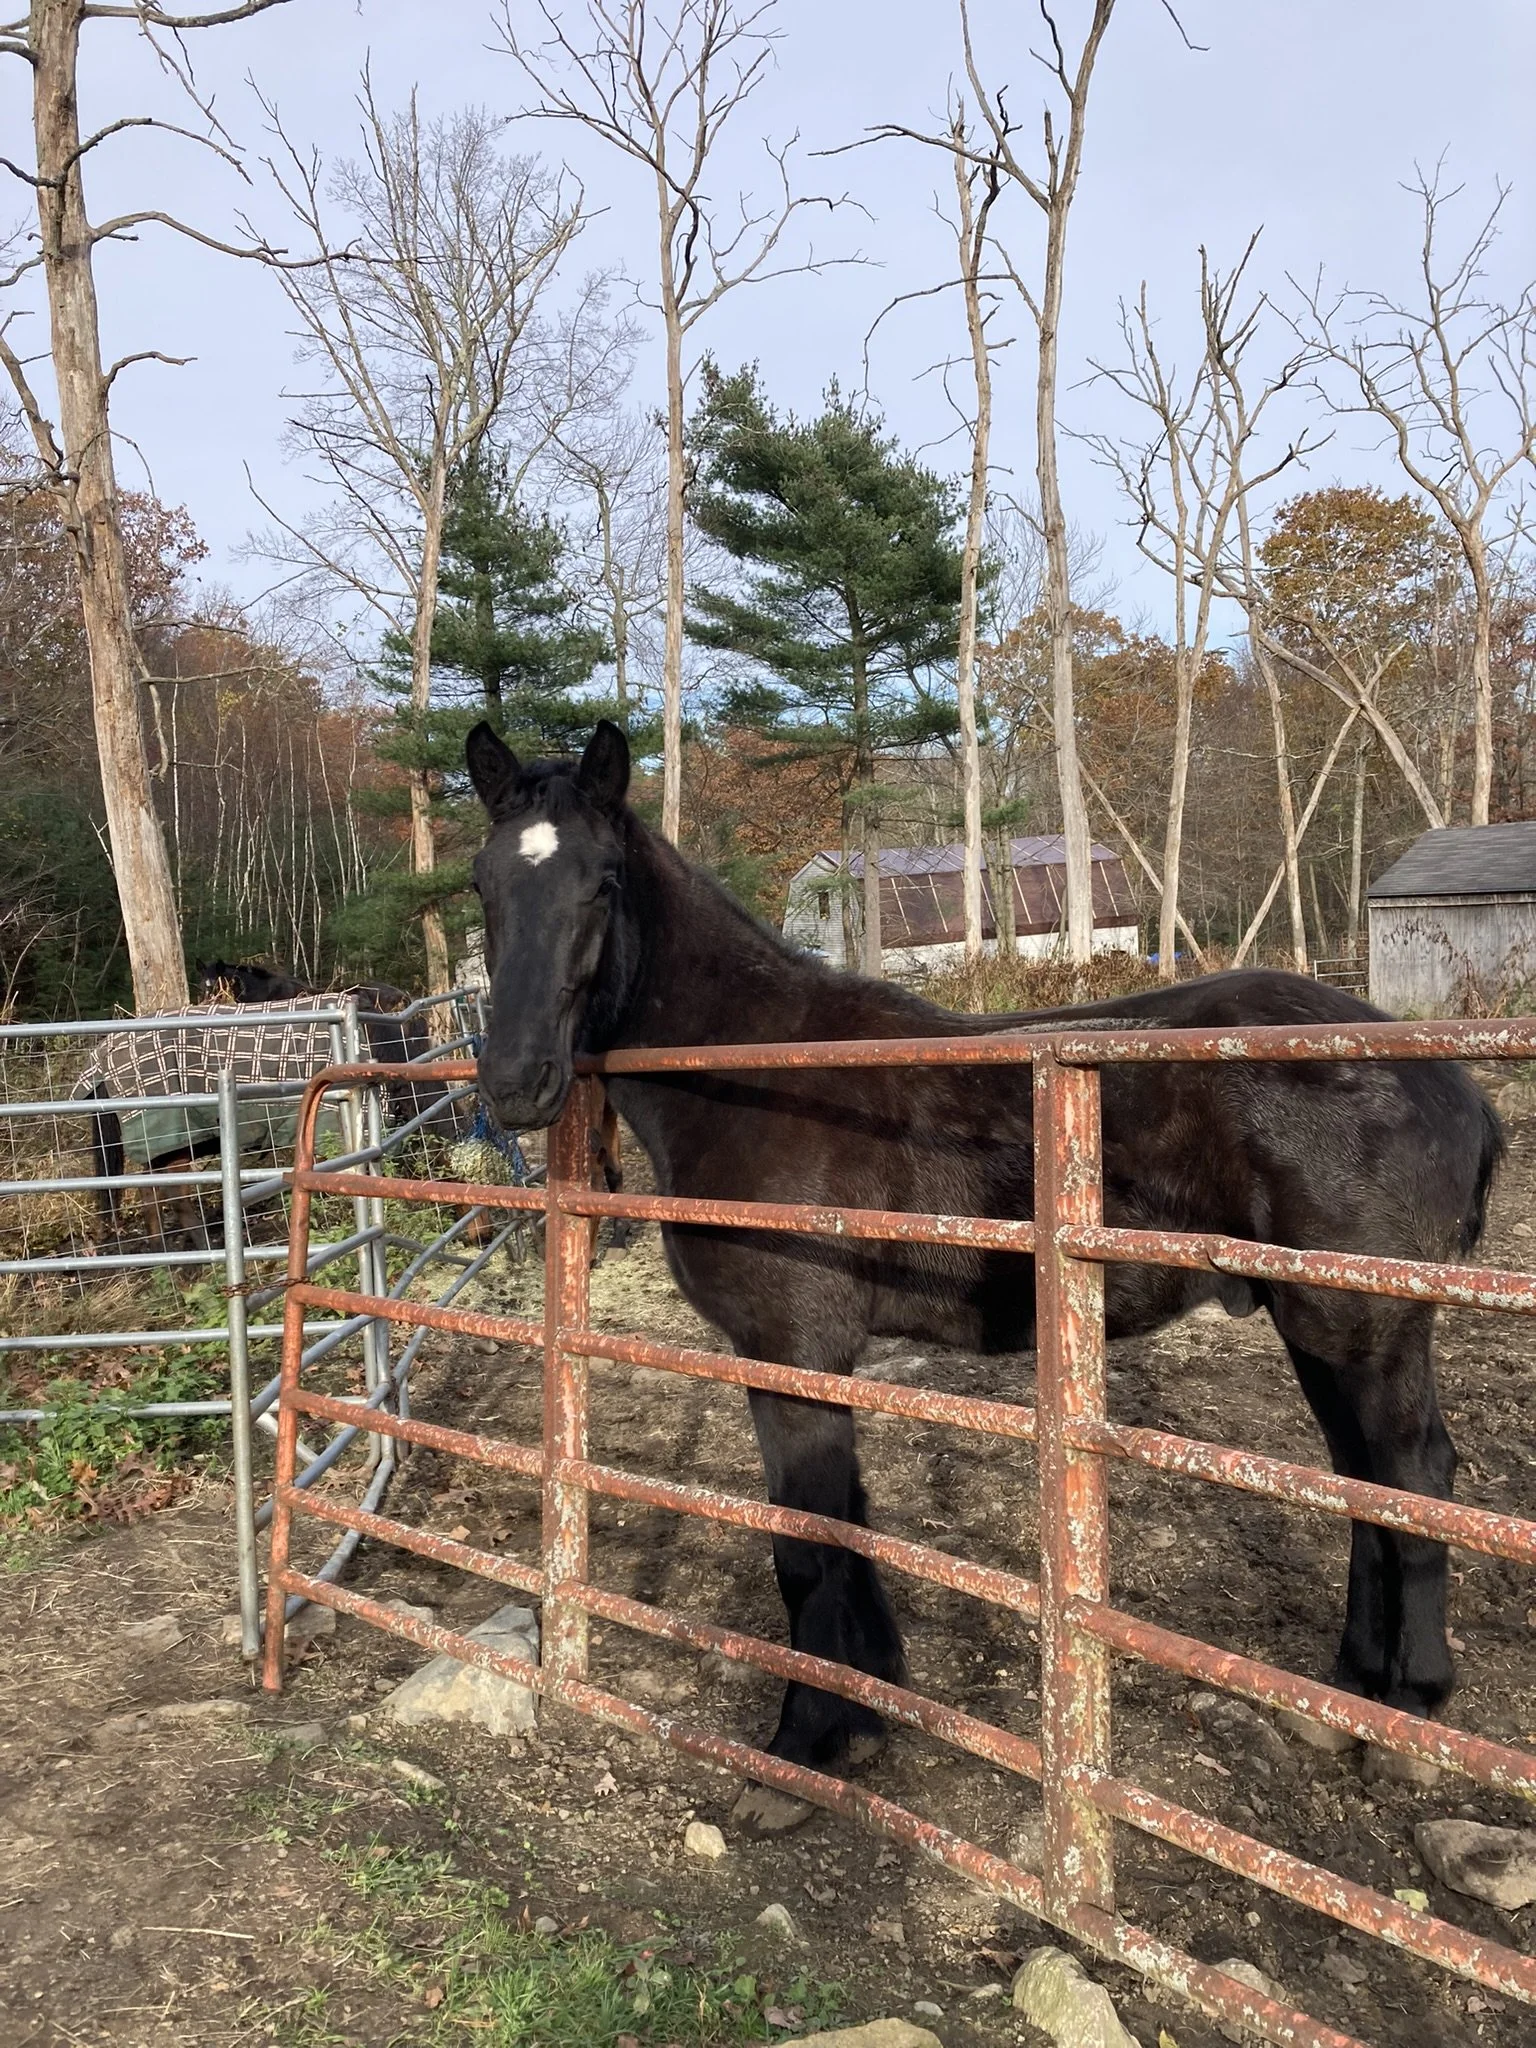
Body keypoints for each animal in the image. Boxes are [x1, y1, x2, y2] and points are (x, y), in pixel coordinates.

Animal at [465, 719, 1503, 1828]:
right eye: (484, 884)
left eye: (603, 882)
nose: (516, 1082)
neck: (758, 1072)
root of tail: (1448, 1080)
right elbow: (846, 1521)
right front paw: (868, 1709)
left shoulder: (793, 1350)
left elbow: (806, 1539)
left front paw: (802, 1748)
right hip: (1321, 1327)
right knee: (1368, 1485)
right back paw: (1349, 1695)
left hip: (1363, 1326)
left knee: (1414, 1476)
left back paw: (1411, 1711)